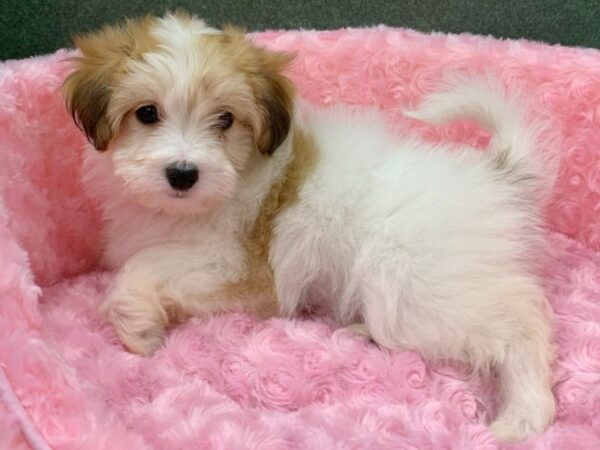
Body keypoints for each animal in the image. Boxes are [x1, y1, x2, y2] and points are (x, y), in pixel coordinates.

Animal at [63, 12, 556, 442]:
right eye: (147, 113)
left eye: (225, 119)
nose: (183, 173)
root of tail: (495, 174)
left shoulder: (242, 272)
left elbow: (144, 266)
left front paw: (136, 326)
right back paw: (362, 334)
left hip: (416, 285)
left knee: (519, 325)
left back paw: (523, 414)